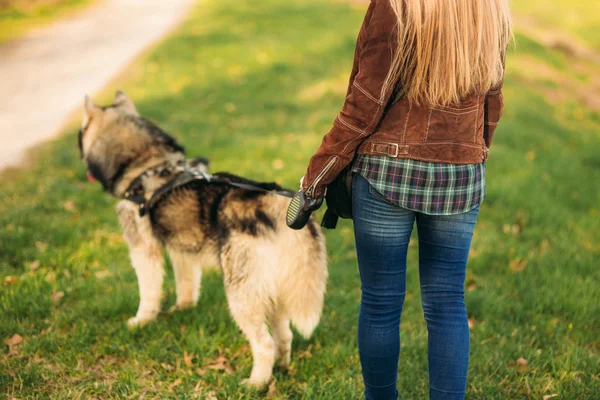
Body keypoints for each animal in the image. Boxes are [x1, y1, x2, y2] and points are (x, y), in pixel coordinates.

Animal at [79, 90, 328, 388]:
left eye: (79, 133)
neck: (147, 165)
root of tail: (275, 205)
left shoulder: (143, 250)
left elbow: (148, 292)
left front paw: (142, 320)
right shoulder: (182, 250)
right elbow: (186, 284)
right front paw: (183, 308)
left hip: (241, 296)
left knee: (264, 343)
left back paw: (256, 383)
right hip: (272, 291)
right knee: (284, 335)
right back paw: (279, 368)